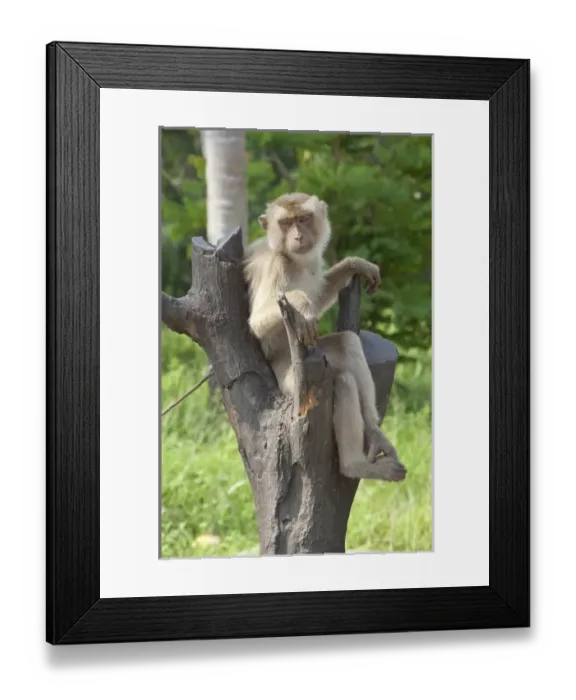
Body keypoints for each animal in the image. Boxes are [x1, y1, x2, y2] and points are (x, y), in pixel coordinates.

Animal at [243, 192, 406, 483]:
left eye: (303, 219)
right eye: (285, 223)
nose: (297, 236)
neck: (293, 259)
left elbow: (319, 297)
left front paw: (354, 264)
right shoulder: (276, 266)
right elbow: (258, 322)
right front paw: (301, 303)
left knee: (347, 344)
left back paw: (373, 431)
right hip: (292, 381)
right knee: (342, 381)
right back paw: (353, 466)